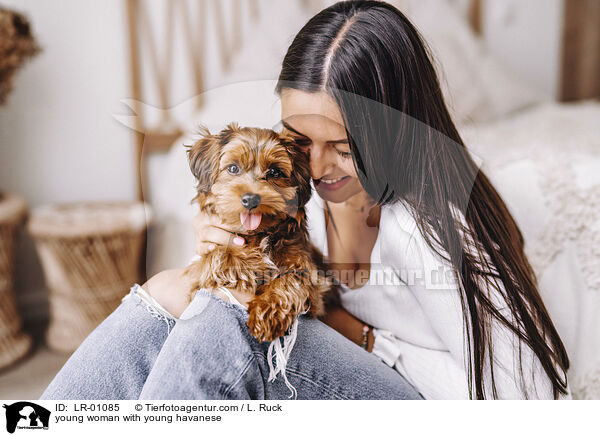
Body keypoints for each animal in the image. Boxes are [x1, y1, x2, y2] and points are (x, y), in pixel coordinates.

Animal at [180, 122, 336, 340]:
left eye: (275, 172)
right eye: (233, 168)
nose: (251, 199)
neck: (258, 235)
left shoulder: (313, 280)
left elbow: (292, 279)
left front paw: (266, 315)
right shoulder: (207, 258)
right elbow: (219, 257)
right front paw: (254, 266)